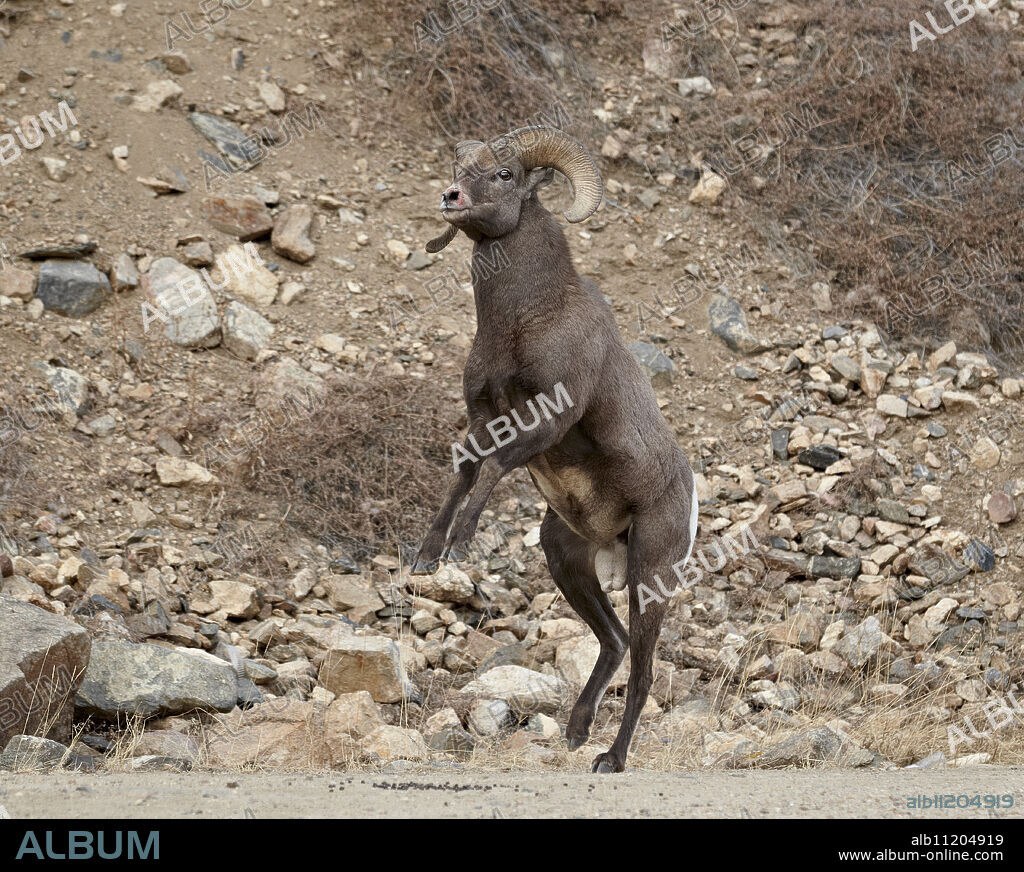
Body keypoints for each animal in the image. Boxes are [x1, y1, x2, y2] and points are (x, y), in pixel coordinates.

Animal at [414, 126, 698, 773]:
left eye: (504, 175)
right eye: (460, 167)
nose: (450, 197)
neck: (525, 319)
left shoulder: (547, 418)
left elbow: (494, 466)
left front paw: (461, 545)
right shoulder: (484, 415)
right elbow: (466, 468)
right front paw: (428, 556)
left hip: (650, 576)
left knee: (642, 671)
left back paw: (609, 760)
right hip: (565, 557)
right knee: (613, 641)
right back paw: (574, 731)